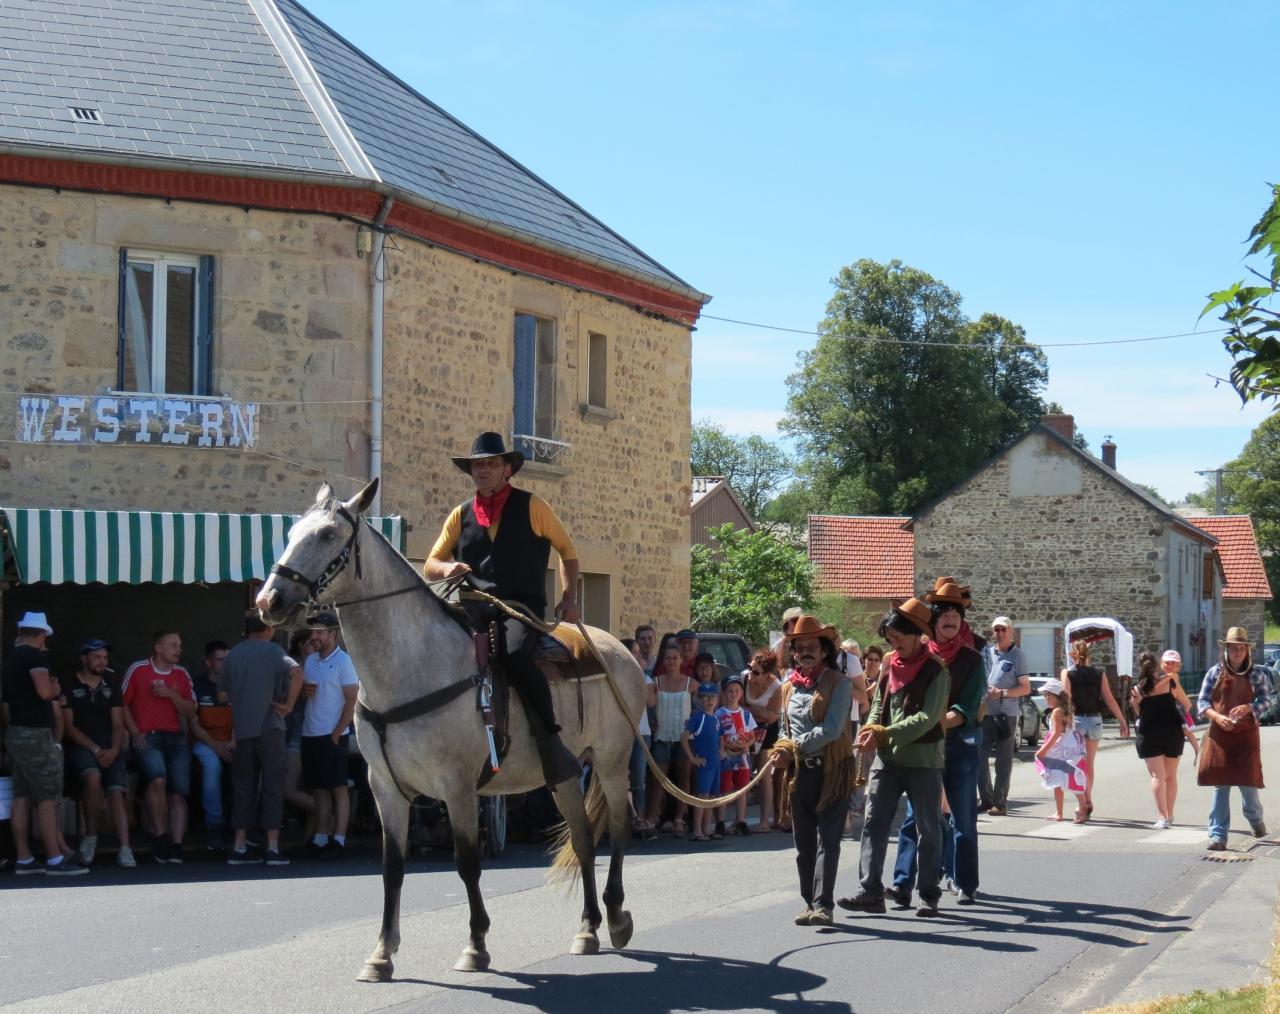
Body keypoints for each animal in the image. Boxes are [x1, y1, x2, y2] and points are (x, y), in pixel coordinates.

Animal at [254, 483, 645, 983]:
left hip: (612, 763)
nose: (270, 601)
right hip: (564, 776)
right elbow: (392, 868)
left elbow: (467, 863)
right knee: (582, 839)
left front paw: (476, 945)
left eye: (326, 535)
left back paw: (616, 917)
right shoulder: (385, 788)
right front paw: (381, 954)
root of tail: (616, 649)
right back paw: (587, 929)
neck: (412, 666)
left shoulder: (457, 788)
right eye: (290, 533)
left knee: (617, 829)